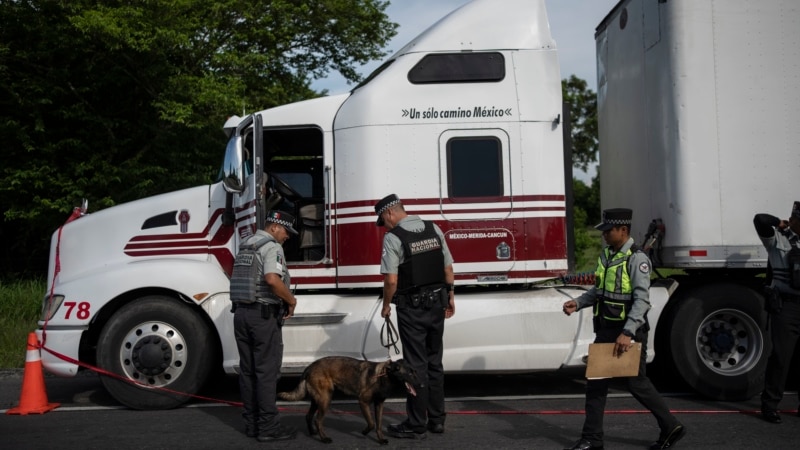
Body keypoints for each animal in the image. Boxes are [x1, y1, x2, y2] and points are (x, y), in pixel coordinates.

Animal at [278, 356, 418, 444]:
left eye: (414, 372)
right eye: (410, 374)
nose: (421, 385)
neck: (385, 375)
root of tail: (310, 367)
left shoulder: (379, 404)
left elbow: (378, 425)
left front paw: (380, 440)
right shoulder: (363, 402)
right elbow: (371, 423)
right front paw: (364, 432)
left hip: (317, 400)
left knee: (308, 416)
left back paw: (313, 432)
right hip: (325, 399)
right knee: (318, 420)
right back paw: (324, 439)